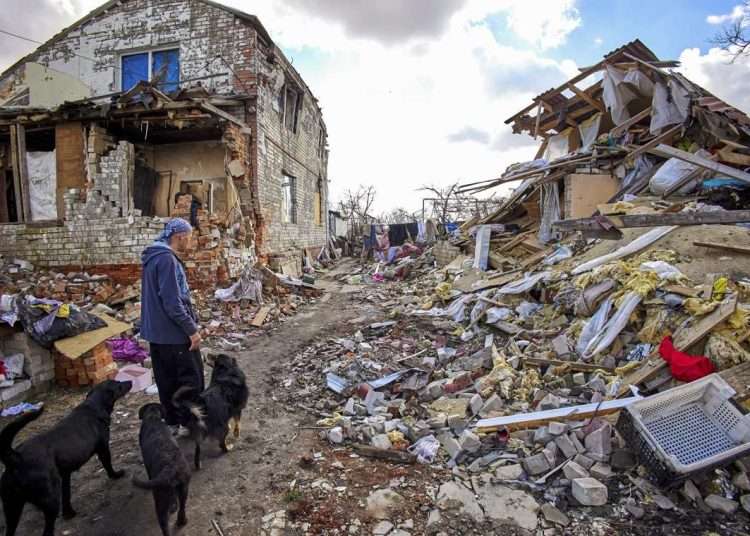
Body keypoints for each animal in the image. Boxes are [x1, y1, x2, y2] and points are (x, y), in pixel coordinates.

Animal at [0, 378, 131, 536]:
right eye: (119, 384)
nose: (130, 382)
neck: (93, 406)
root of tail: (16, 457)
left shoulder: (65, 474)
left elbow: (67, 494)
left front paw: (69, 513)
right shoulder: (103, 449)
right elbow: (108, 465)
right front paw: (116, 475)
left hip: (12, 507)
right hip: (50, 501)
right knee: (47, 530)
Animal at [133, 404, 191, 532]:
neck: (153, 417)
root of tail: (170, 470)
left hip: (160, 502)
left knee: (164, 526)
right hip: (184, 489)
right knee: (182, 507)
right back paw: (182, 521)